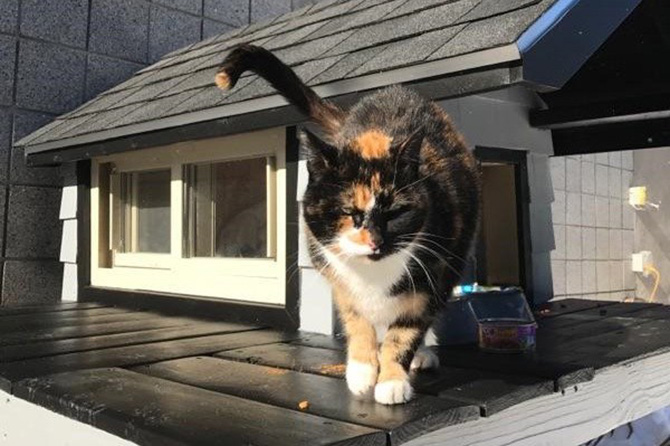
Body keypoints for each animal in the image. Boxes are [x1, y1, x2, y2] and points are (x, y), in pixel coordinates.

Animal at [217, 44, 484, 404]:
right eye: (348, 212)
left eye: (395, 212)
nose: (375, 240)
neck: (374, 274)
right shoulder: (335, 275)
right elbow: (357, 320)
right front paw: (361, 369)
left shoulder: (434, 275)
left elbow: (405, 331)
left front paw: (391, 380)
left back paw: (422, 354)